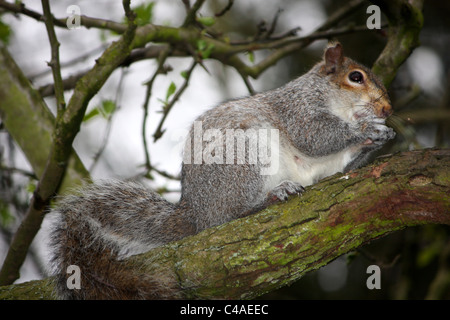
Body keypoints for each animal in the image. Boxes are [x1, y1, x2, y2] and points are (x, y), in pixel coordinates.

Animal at [48, 41, 394, 298]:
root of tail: (197, 213)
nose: (388, 109)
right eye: (356, 77)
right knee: (230, 216)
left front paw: (379, 138)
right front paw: (367, 129)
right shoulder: (298, 111)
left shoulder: (330, 164)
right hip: (242, 158)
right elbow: (315, 136)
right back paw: (270, 197)